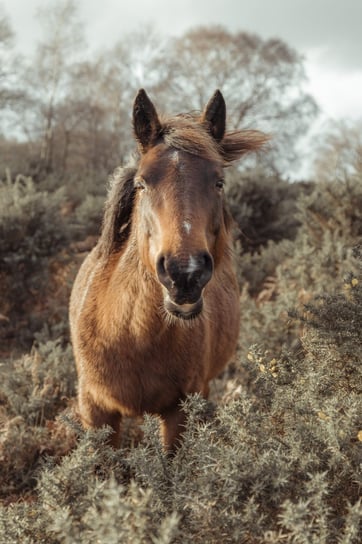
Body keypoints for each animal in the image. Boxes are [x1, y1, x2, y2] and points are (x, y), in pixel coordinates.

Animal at [69, 89, 268, 450]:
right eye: (142, 183)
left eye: (219, 182)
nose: (185, 273)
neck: (132, 335)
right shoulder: (96, 412)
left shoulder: (181, 411)